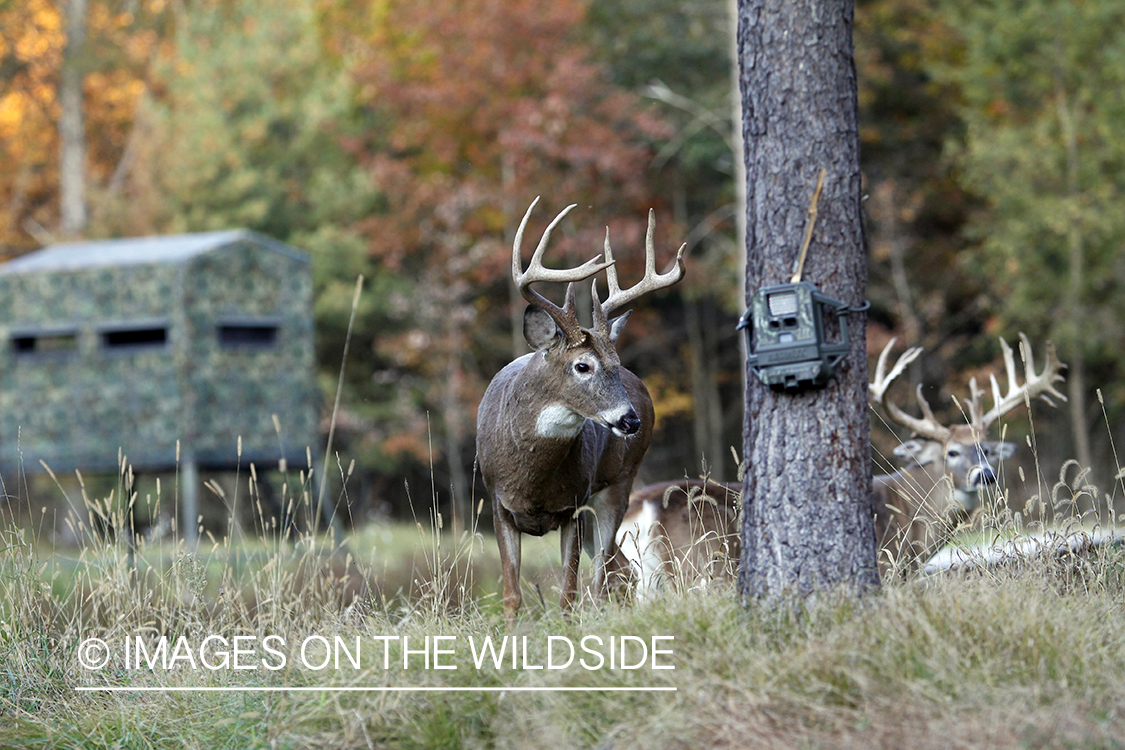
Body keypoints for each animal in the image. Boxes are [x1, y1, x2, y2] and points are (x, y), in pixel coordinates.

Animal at [474, 196, 684, 625]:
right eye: (582, 365)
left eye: (615, 362)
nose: (630, 420)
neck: (531, 479)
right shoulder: (498, 505)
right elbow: (510, 594)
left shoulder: (573, 505)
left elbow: (569, 594)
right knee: (620, 570)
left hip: (619, 485)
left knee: (607, 573)